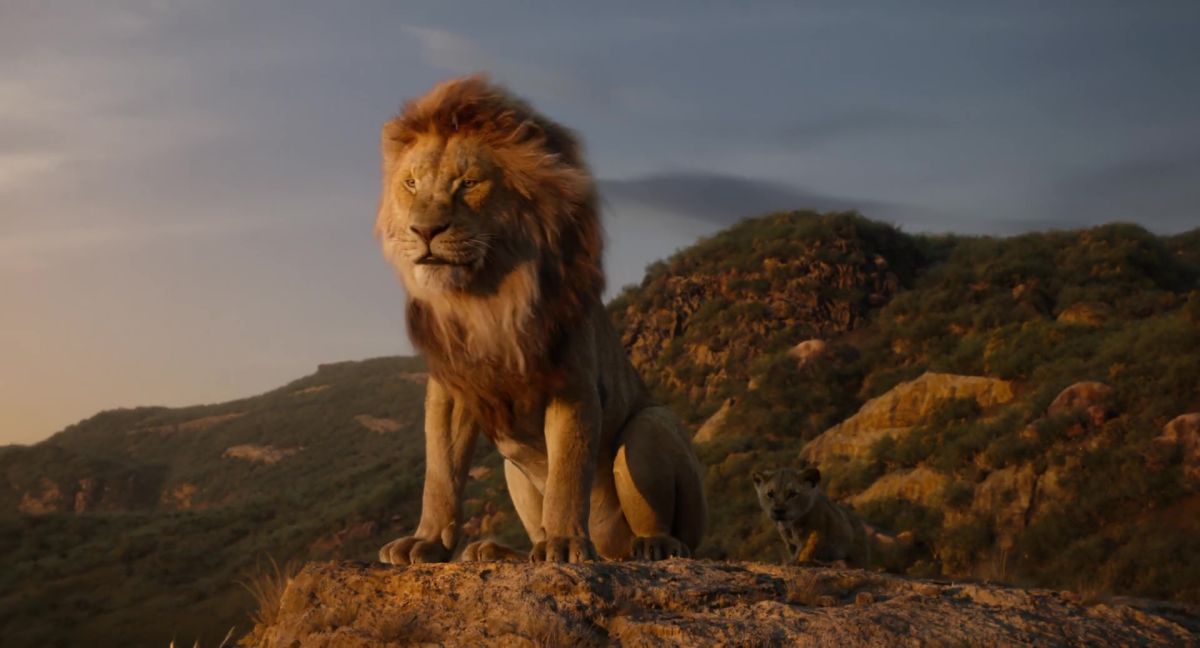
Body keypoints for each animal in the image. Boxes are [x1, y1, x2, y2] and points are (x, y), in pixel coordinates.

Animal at [374, 76, 707, 564]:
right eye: (411, 184)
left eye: (468, 183)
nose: (424, 231)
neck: (485, 297)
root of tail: (611, 551)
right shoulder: (452, 389)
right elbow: (440, 474)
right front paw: (427, 541)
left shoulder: (573, 383)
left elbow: (567, 472)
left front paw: (565, 544)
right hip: (513, 468)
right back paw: (497, 551)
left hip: (652, 426)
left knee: (671, 530)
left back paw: (654, 544)